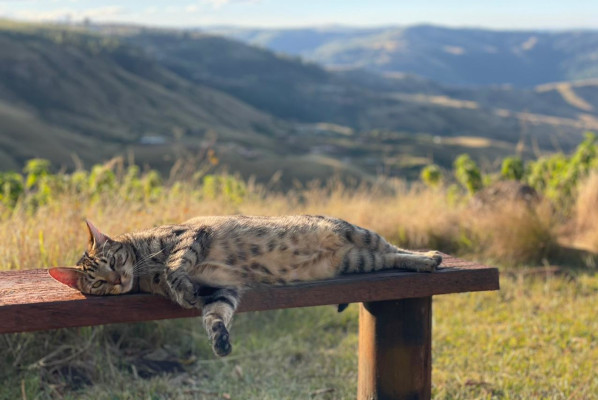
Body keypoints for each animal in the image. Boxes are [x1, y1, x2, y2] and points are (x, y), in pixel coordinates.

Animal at [49, 216, 442, 356]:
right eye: (97, 282)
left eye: (114, 262)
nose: (117, 279)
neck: (146, 272)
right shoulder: (219, 291)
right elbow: (215, 315)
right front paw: (219, 339)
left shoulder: (191, 235)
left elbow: (177, 263)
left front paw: (179, 287)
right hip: (358, 260)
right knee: (389, 257)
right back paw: (421, 261)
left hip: (358, 234)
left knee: (392, 247)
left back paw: (429, 256)